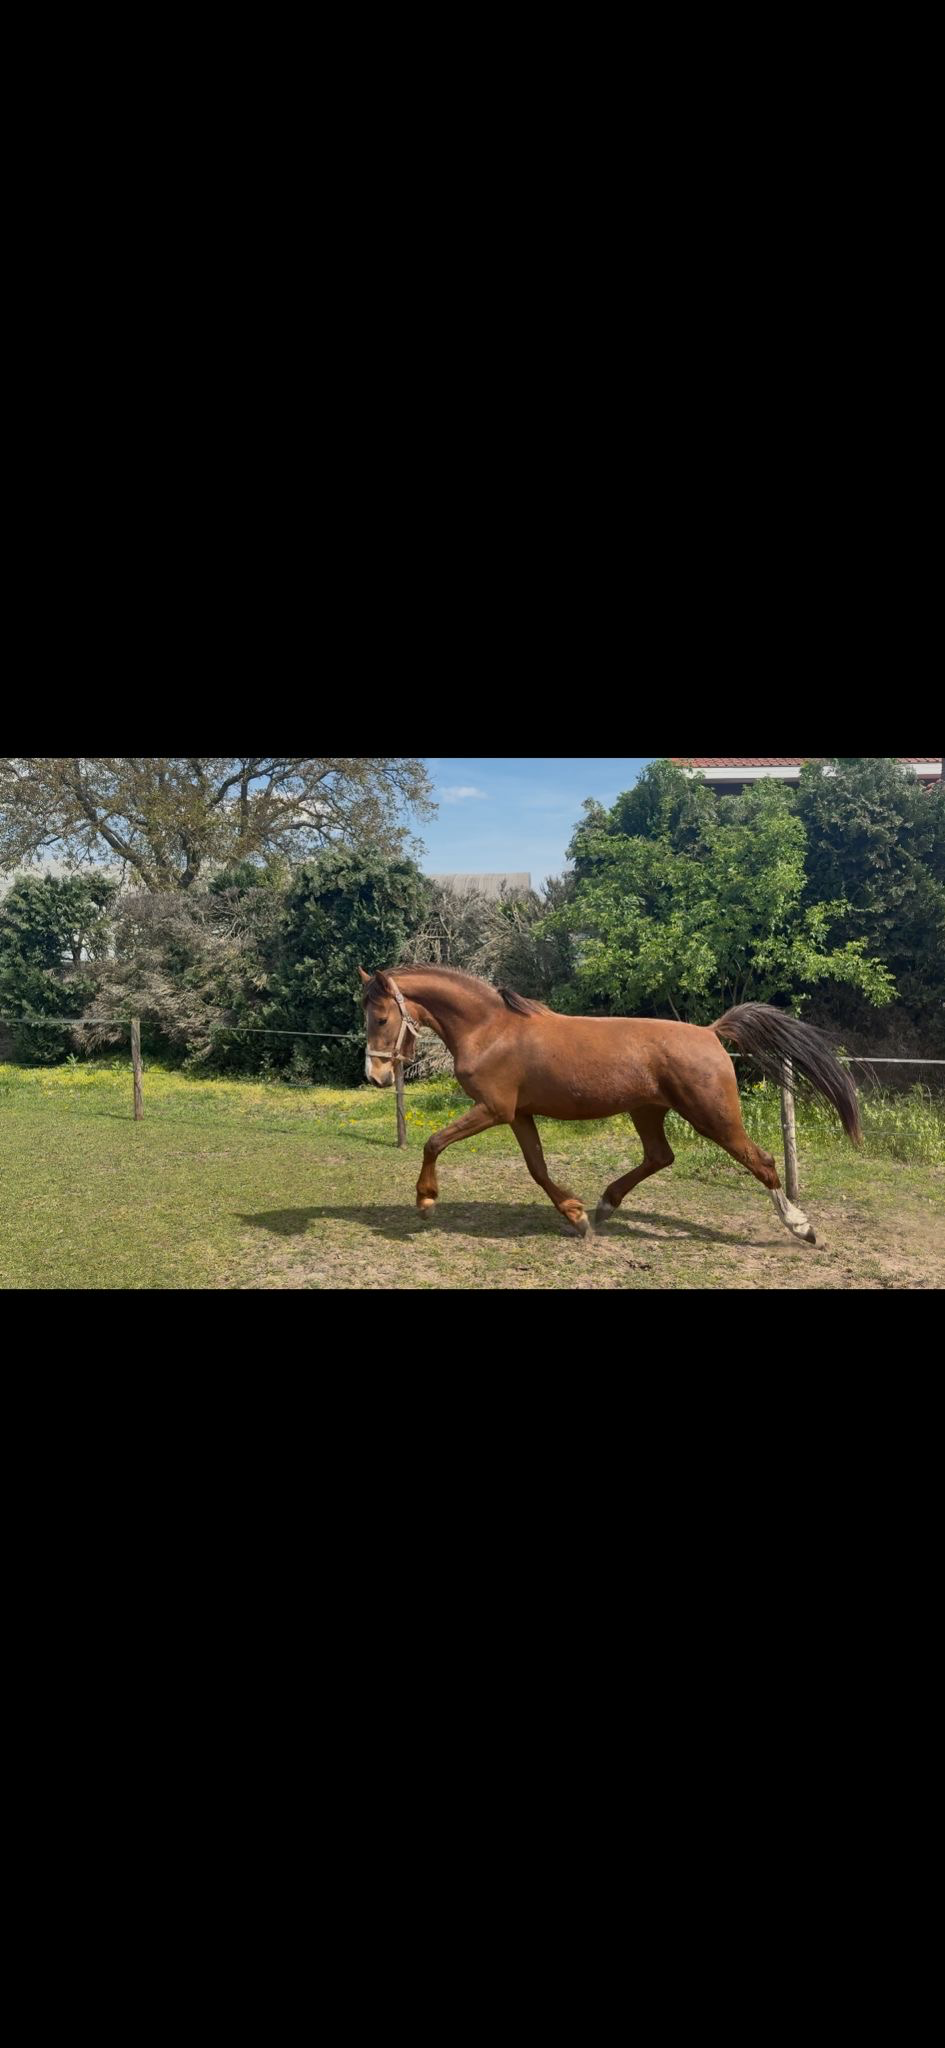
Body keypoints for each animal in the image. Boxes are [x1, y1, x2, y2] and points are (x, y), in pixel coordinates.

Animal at [358, 965, 861, 1245]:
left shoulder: (494, 1109)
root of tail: (710, 1032)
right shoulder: (517, 1115)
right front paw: (578, 1217)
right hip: (647, 1111)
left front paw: (425, 1202)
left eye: (380, 1018)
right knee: (660, 1156)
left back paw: (802, 1228)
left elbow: (433, 1141)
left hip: (712, 1117)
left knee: (763, 1161)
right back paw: (604, 1206)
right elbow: (537, 1168)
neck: (490, 1029)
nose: (376, 1076)